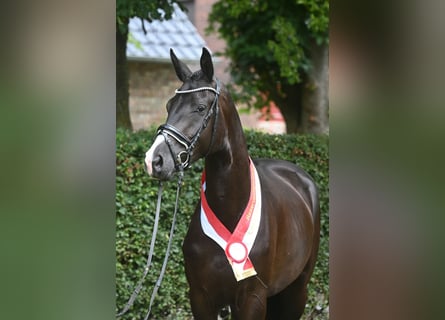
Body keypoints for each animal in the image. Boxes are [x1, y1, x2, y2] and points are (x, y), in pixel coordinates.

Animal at [144, 48, 318, 320]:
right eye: (169, 105)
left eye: (200, 107)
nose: (155, 160)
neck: (231, 211)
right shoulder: (200, 298)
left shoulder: (252, 300)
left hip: (296, 291)